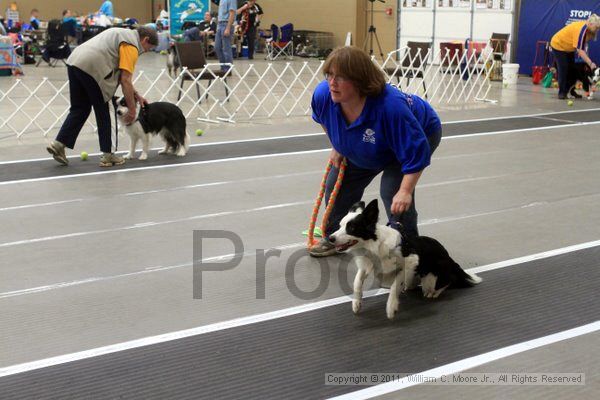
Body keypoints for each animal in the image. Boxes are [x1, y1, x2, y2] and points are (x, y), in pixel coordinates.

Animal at [330, 199, 480, 318]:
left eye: (352, 228)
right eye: (340, 226)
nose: (330, 238)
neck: (375, 246)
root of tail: (449, 259)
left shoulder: (411, 262)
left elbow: (395, 284)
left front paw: (391, 307)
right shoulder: (368, 265)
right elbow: (357, 281)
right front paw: (356, 303)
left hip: (432, 277)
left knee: (448, 280)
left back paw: (434, 292)